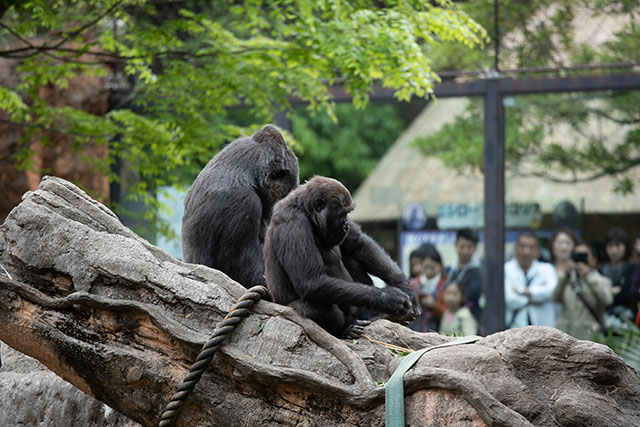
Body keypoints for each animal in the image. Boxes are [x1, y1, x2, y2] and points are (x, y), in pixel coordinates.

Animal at [264, 176, 420, 338]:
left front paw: (404, 286)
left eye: (348, 213)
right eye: (342, 214)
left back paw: (373, 315)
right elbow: (310, 281)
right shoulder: (293, 222)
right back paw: (346, 328)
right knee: (312, 307)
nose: (346, 225)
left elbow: (358, 244)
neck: (306, 210)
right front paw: (387, 298)